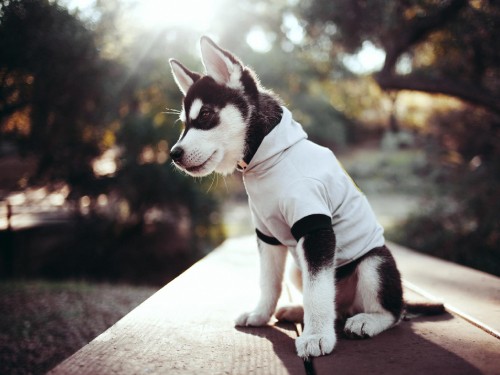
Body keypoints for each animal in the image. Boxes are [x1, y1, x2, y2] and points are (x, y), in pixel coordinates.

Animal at [169, 36, 442, 360]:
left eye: (206, 115)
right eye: (184, 124)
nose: (173, 154)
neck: (268, 157)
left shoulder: (315, 229)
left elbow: (317, 292)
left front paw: (316, 337)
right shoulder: (267, 234)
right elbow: (269, 282)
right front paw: (261, 314)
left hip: (374, 263)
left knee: (393, 311)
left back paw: (367, 320)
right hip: (296, 266)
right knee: (333, 303)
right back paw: (297, 310)